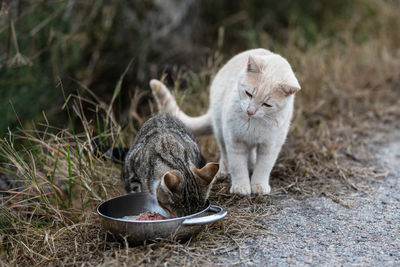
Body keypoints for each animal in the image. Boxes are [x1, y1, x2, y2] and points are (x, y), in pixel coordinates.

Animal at [150, 48, 300, 195]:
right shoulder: (234, 140)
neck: (253, 122)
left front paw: (258, 185)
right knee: (225, 155)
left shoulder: (270, 145)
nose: (250, 111)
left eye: (267, 104)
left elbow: (264, 167)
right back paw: (223, 171)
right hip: (220, 130)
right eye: (249, 93)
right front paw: (241, 186)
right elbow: (238, 165)